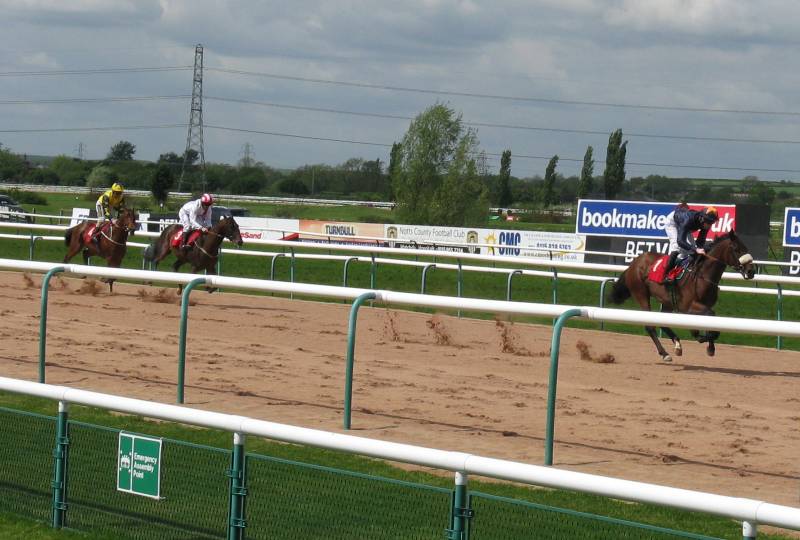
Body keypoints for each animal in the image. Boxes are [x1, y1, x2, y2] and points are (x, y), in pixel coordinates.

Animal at [608, 231, 755, 362]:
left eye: (746, 248)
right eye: (736, 249)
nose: (751, 271)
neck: (702, 275)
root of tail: (634, 263)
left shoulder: (702, 306)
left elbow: (708, 321)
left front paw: (710, 346)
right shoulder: (689, 307)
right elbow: (708, 320)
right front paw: (706, 340)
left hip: (667, 301)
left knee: (663, 322)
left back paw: (677, 345)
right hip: (641, 294)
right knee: (650, 326)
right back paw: (664, 353)